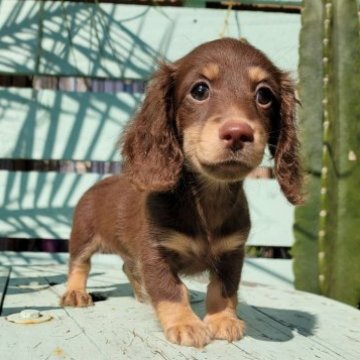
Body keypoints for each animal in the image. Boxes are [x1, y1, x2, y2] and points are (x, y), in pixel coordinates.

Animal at [60, 38, 302, 348]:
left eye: (264, 95)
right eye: (199, 90)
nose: (238, 133)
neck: (207, 199)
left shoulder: (232, 253)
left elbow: (224, 289)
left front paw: (222, 319)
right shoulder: (155, 252)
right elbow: (171, 290)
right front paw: (186, 324)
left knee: (128, 268)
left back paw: (141, 295)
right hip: (83, 237)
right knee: (79, 265)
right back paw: (75, 292)